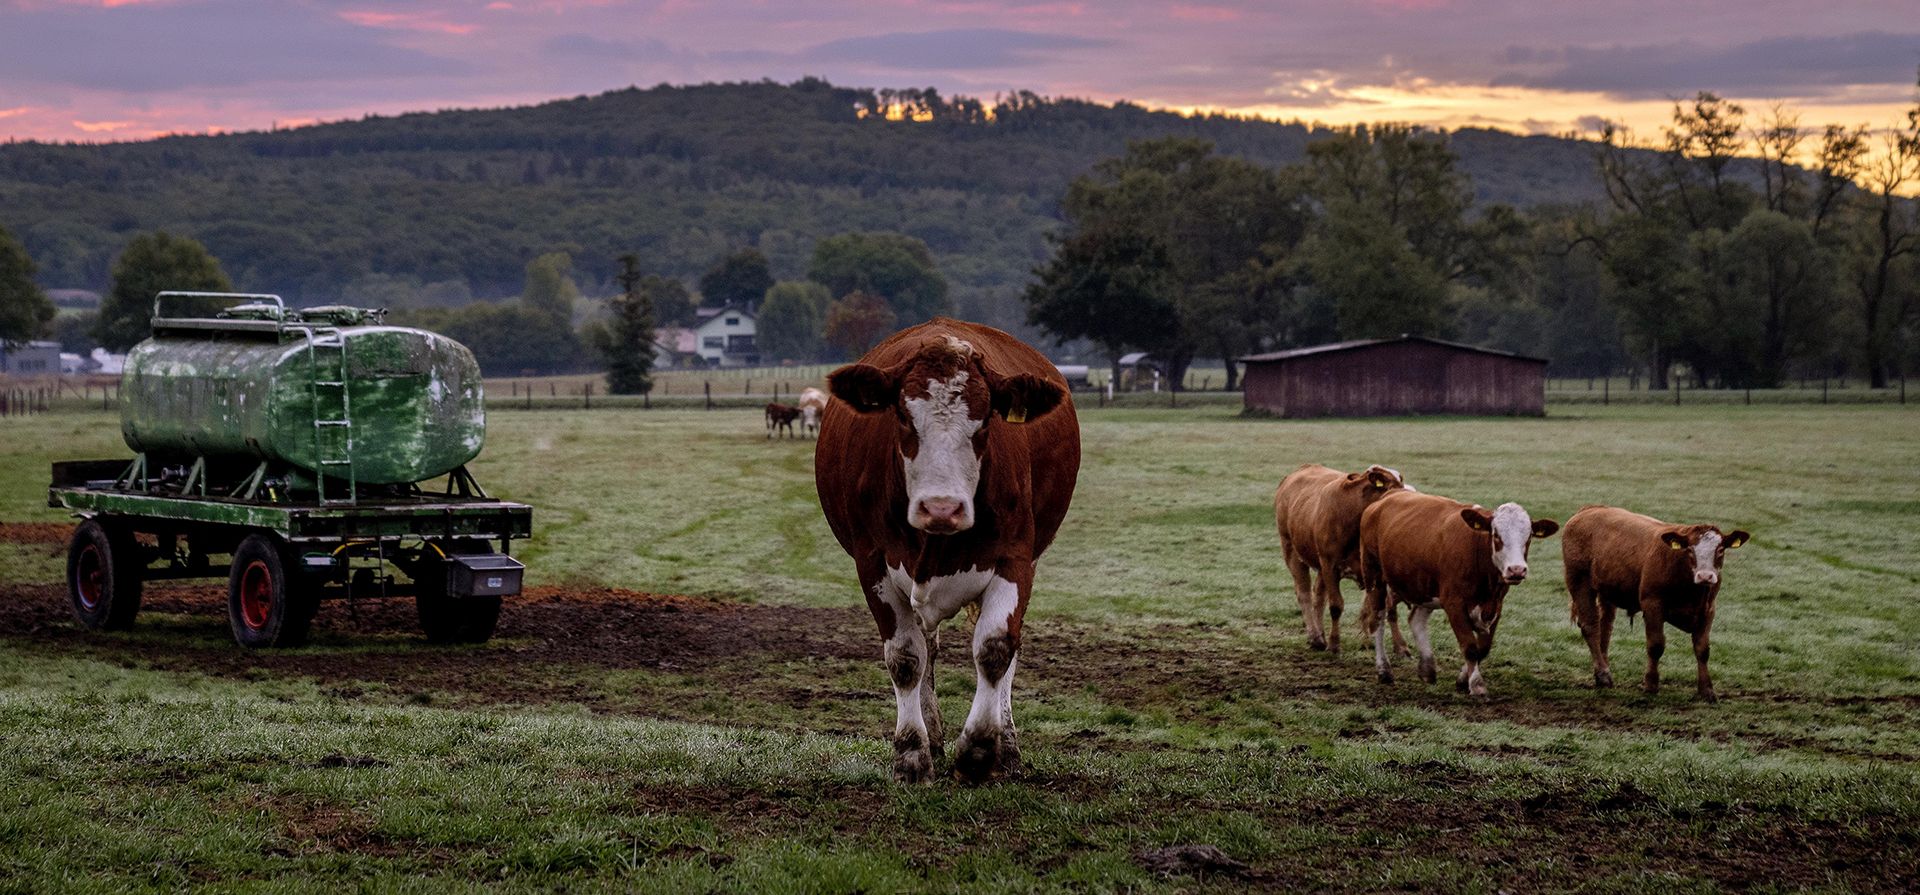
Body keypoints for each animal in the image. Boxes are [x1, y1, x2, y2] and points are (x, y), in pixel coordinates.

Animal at [815, 318, 1079, 784]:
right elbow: (905, 658)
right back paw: (933, 734)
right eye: (903, 417)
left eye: (985, 420)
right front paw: (912, 754)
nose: (941, 508)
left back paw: (1007, 745)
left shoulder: (1015, 559)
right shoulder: (872, 563)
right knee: (926, 649)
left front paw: (979, 750)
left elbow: (995, 649)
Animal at [1273, 463, 1409, 654]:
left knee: (1318, 595)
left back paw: (1320, 634)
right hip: (1292, 551)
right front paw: (1334, 644)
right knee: (1304, 594)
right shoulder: (1330, 566)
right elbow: (1336, 605)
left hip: (1320, 565)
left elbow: (1386, 607)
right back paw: (1315, 637)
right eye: (1390, 484)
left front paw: (1400, 646)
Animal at [1359, 491, 1558, 698]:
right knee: (1377, 621)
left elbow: (1482, 648)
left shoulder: (1496, 605)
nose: (1517, 570)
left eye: (1529, 537)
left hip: (1424, 586)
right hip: (1374, 577)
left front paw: (1463, 679)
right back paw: (1384, 671)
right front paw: (1477, 684)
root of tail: (1388, 496)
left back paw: (1427, 668)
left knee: (1416, 619)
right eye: (1496, 535)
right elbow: (1469, 646)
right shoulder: (1454, 603)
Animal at [1561, 506, 1749, 702]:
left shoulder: (1708, 610)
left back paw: (1602, 672)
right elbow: (1656, 645)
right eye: (1690, 549)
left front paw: (1706, 690)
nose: (1705, 576)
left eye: (1720, 550)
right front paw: (1650, 684)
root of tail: (1589, 509)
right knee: (1590, 626)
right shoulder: (1652, 604)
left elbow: (1702, 650)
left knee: (1605, 629)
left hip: (1607, 590)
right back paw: (1603, 674)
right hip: (1579, 580)